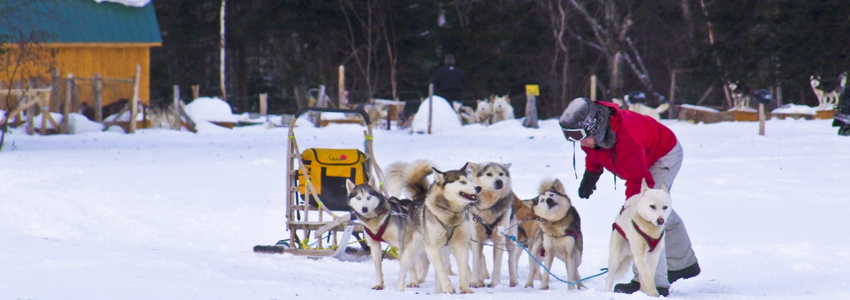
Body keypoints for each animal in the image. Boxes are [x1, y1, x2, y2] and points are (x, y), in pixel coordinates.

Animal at [388, 161, 480, 294]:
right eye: (462, 182)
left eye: (470, 180)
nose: (479, 188)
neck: (450, 214)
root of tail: (417, 200)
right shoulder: (433, 248)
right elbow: (441, 270)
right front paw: (448, 287)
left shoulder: (461, 245)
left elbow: (463, 269)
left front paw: (465, 289)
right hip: (410, 251)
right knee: (403, 271)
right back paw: (399, 290)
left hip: (445, 253)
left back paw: (438, 291)